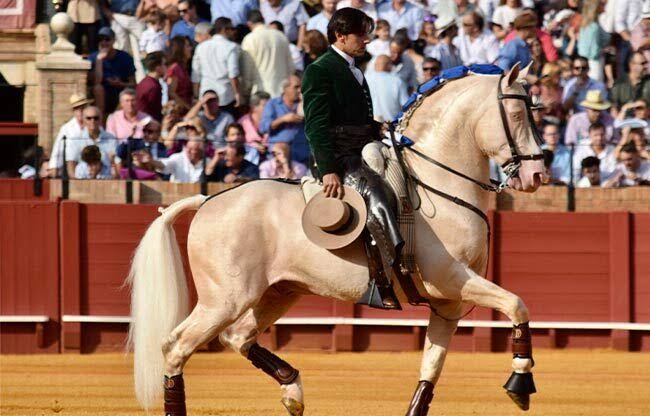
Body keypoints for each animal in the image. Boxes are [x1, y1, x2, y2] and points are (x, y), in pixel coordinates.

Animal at [129, 62, 544, 416]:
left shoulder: (448, 303)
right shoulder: (453, 279)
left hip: (278, 292)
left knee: (237, 336)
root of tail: (207, 200)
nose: (537, 174)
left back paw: (293, 391)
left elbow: (431, 367)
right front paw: (520, 383)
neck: (435, 184)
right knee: (176, 346)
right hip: (224, 299)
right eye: (518, 114)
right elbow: (518, 304)